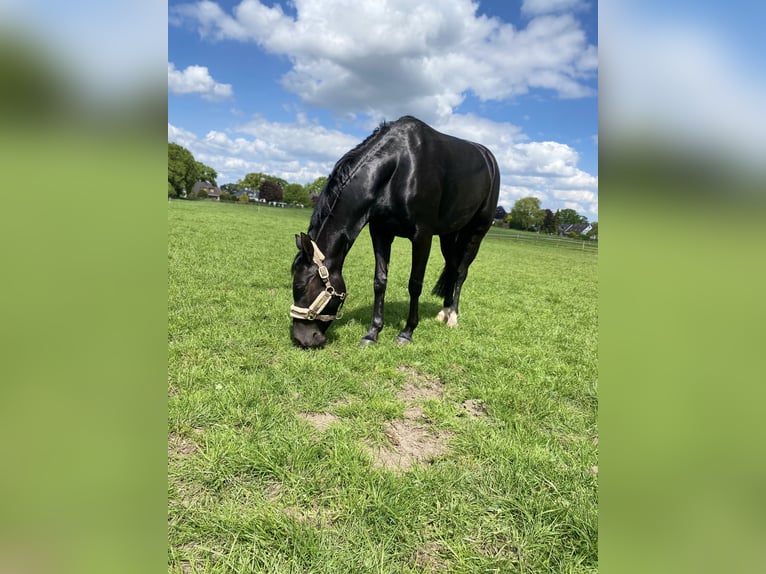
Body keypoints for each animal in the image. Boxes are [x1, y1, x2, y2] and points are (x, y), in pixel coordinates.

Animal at [292, 116, 500, 352]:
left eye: (299, 286)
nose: (302, 338)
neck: (401, 166)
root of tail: (489, 159)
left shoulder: (422, 236)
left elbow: (415, 284)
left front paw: (406, 333)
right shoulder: (381, 232)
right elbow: (380, 281)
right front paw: (372, 333)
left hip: (476, 232)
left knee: (461, 272)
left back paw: (453, 317)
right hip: (448, 235)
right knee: (453, 267)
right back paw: (444, 312)